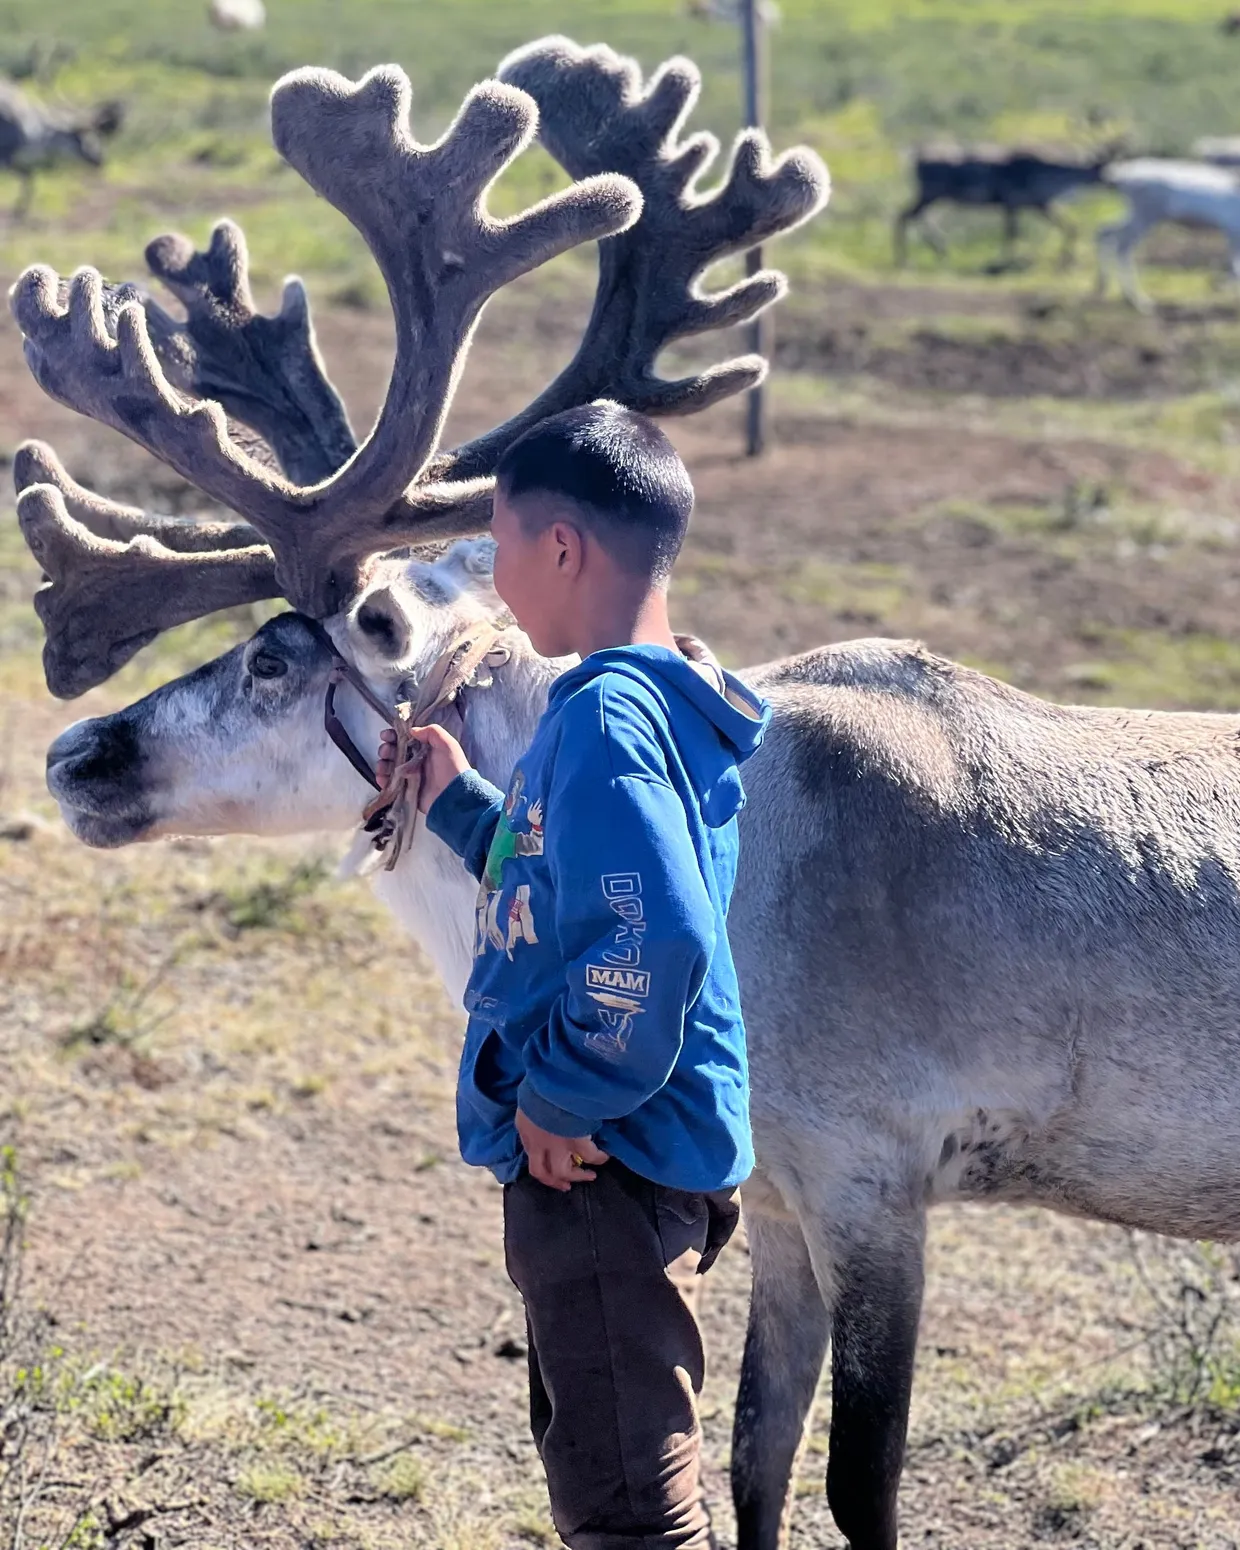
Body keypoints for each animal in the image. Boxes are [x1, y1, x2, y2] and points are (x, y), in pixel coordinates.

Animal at [0, 80, 123, 220]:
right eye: (77, 136)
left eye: (96, 135)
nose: (99, 159)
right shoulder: (6, 155)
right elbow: (29, 181)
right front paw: (18, 213)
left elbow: (29, 180)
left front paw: (19, 212)